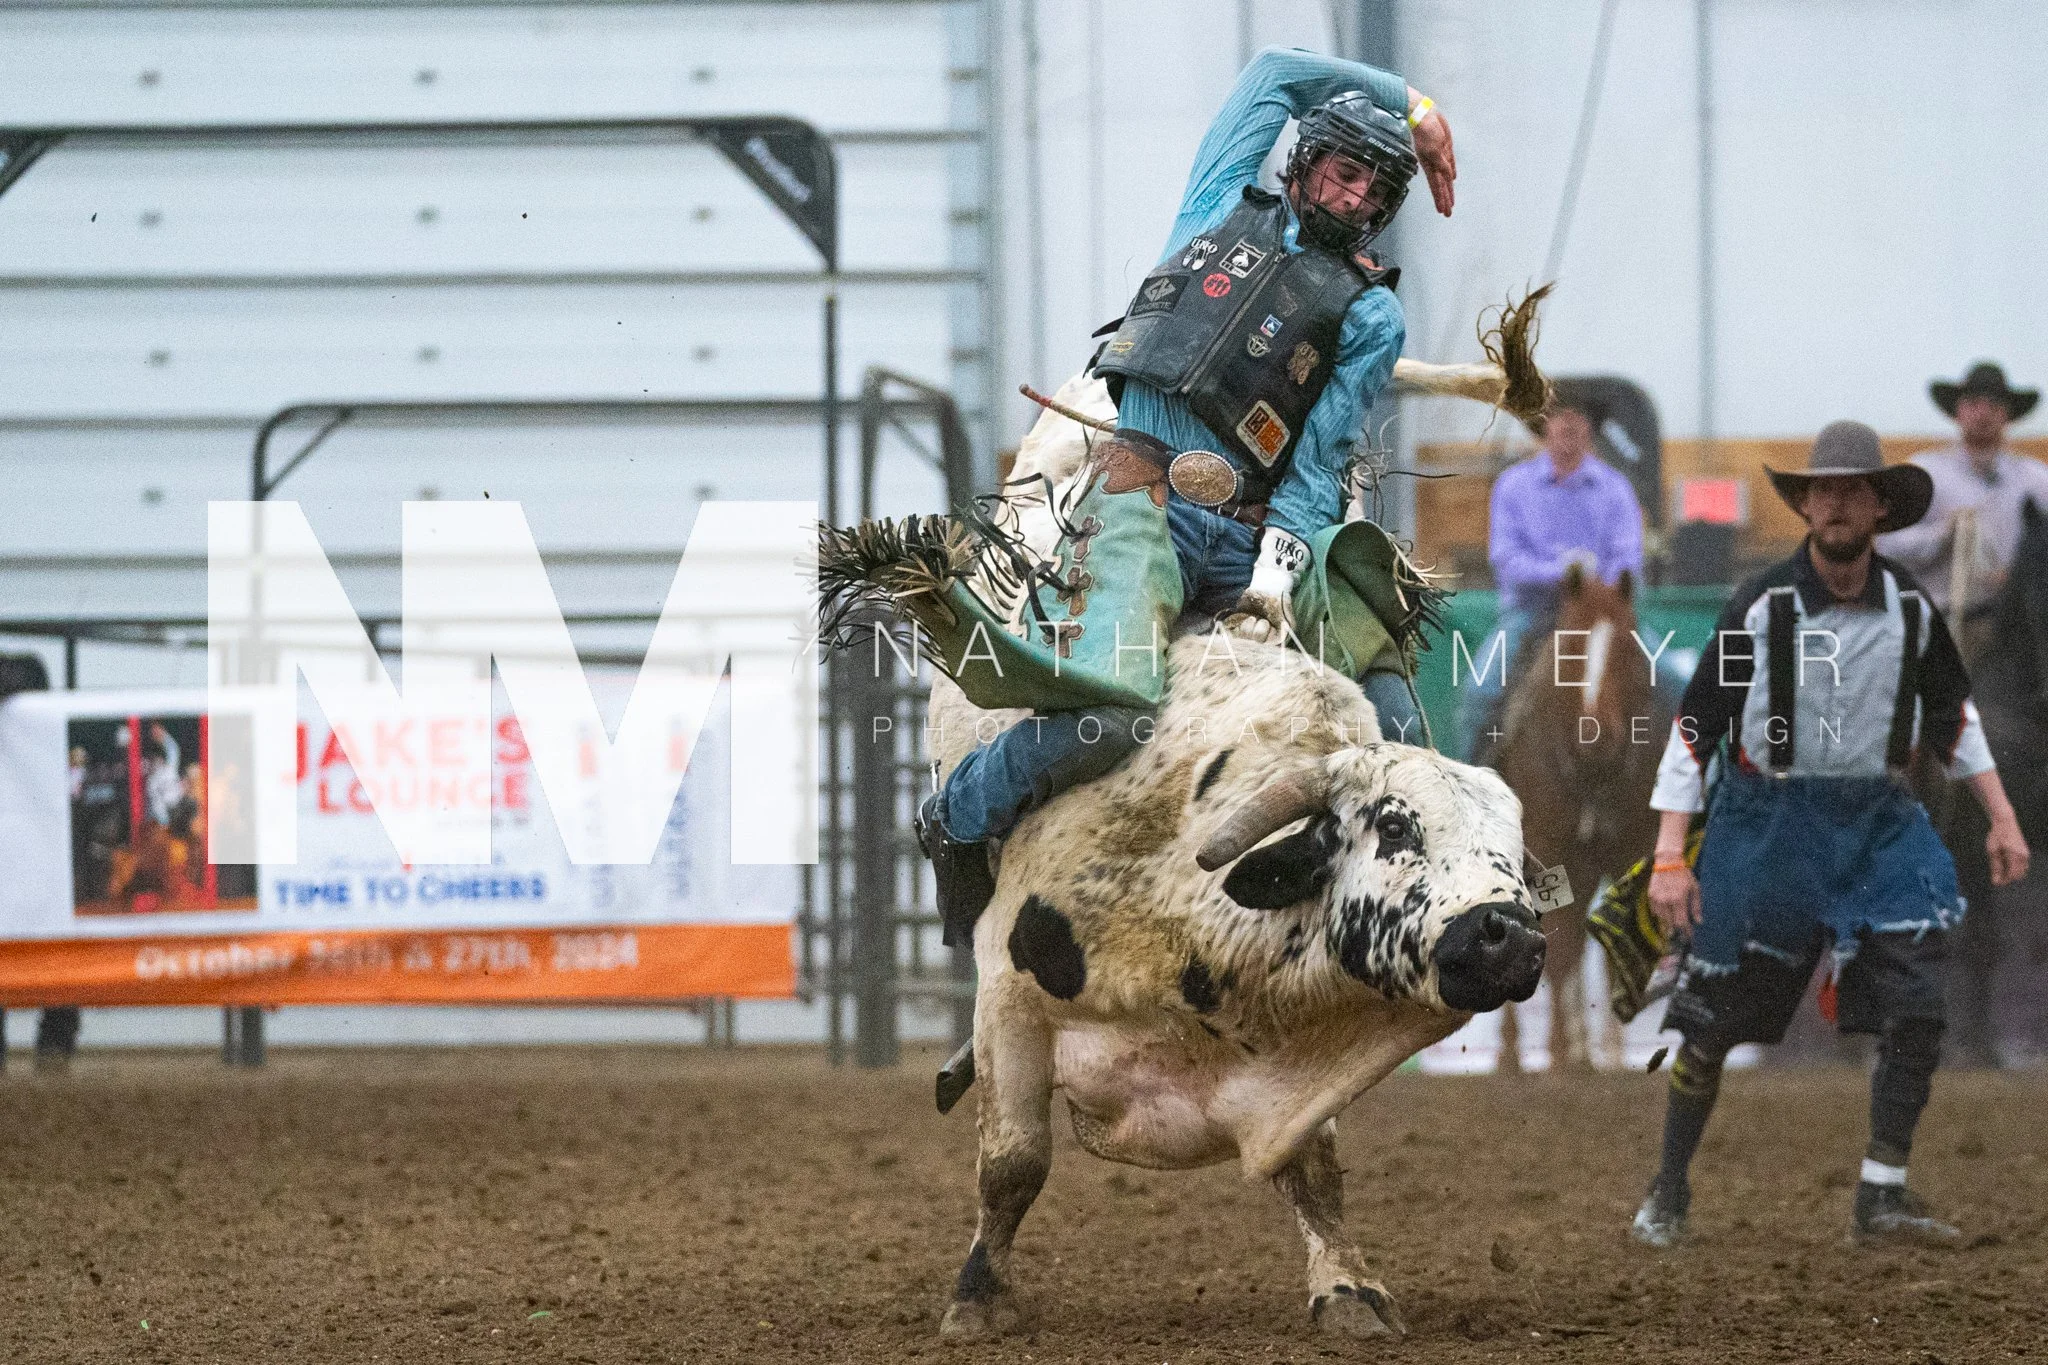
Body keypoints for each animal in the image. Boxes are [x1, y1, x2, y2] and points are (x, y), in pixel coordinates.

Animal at [926, 634, 1545, 1340]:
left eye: (1514, 844)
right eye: (1394, 826)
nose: (1514, 936)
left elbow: (1314, 1173)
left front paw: (1347, 1290)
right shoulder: (1009, 1003)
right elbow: (1015, 1161)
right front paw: (979, 1298)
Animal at [1490, 564, 1666, 1068]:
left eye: (1628, 645)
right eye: (1567, 647)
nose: (1596, 735)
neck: (1591, 774)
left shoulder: (1631, 850)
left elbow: (1611, 947)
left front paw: (1607, 1054)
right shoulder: (1551, 849)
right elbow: (1559, 945)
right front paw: (1559, 1053)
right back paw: (1514, 1054)